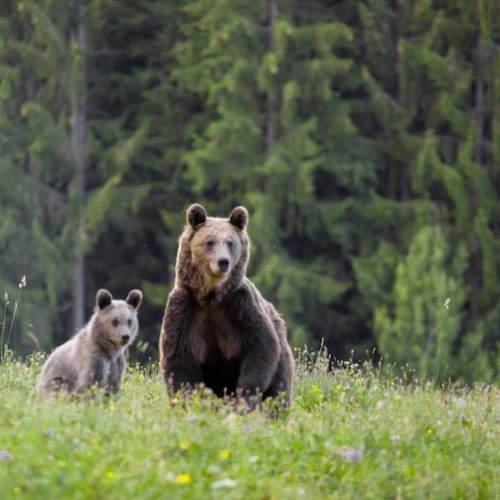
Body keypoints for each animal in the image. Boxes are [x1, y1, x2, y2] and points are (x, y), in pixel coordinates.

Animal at [160, 205, 292, 408]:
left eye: (230, 242)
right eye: (210, 241)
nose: (223, 261)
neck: (211, 296)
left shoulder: (239, 306)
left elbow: (261, 346)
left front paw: (244, 397)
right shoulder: (185, 310)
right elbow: (179, 359)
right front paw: (187, 401)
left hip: (282, 358)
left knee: (278, 390)